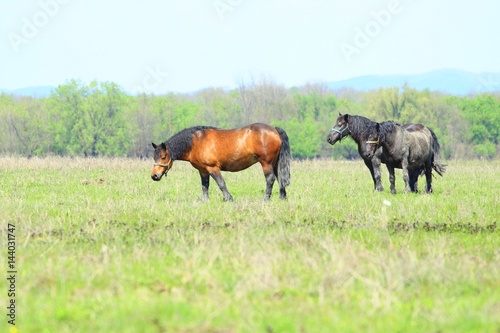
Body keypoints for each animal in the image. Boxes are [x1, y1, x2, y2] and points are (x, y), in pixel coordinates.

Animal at [150, 122, 292, 200]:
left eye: (163, 157)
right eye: (154, 157)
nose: (154, 176)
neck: (196, 143)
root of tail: (274, 129)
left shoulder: (213, 168)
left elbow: (221, 183)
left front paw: (229, 198)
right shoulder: (203, 170)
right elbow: (205, 186)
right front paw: (205, 201)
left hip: (266, 163)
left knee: (270, 179)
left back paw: (266, 198)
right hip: (274, 162)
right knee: (279, 178)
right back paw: (282, 197)